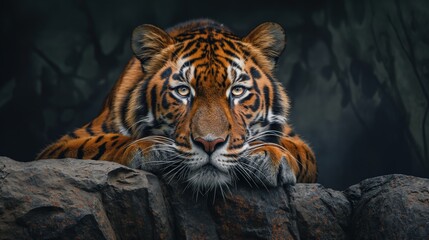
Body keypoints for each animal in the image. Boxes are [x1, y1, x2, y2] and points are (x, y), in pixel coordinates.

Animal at [37, 19, 318, 191]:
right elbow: (106, 142)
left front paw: (269, 154)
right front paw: (150, 148)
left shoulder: (301, 145)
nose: (209, 144)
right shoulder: (58, 147)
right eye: (183, 91)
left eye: (237, 91)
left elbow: (293, 148)